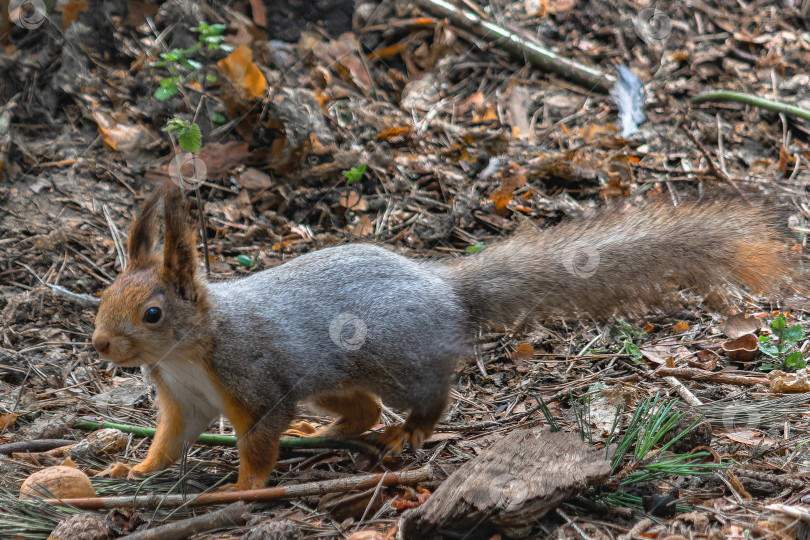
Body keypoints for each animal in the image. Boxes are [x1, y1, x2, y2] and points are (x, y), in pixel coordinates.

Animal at [91, 188, 792, 492]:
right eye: (104, 295)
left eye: (151, 314)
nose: (100, 346)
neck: (192, 349)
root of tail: (444, 287)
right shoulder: (183, 400)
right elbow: (168, 442)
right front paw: (132, 468)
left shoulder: (257, 381)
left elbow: (260, 440)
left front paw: (240, 489)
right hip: (340, 379)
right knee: (359, 409)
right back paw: (330, 432)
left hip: (395, 363)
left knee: (428, 399)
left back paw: (409, 434)